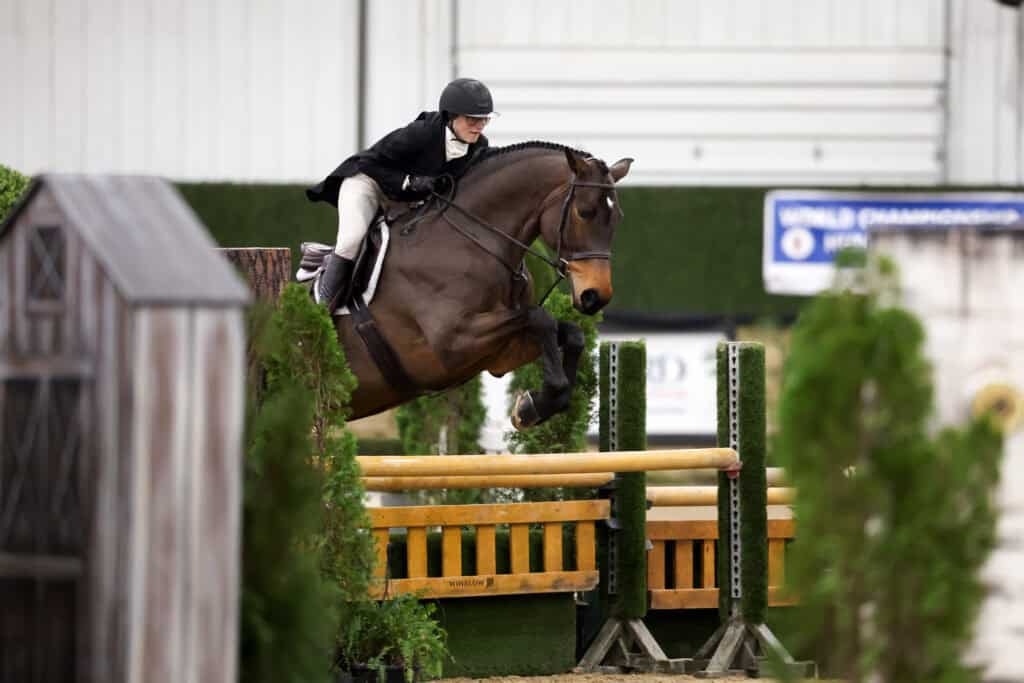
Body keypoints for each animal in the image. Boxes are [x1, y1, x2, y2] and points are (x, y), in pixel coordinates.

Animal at [319, 142, 632, 429]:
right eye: (584, 212)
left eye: (618, 218)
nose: (596, 296)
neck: (472, 240)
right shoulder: (454, 343)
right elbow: (540, 318)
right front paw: (538, 401)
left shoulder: (502, 355)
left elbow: (570, 333)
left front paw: (533, 407)